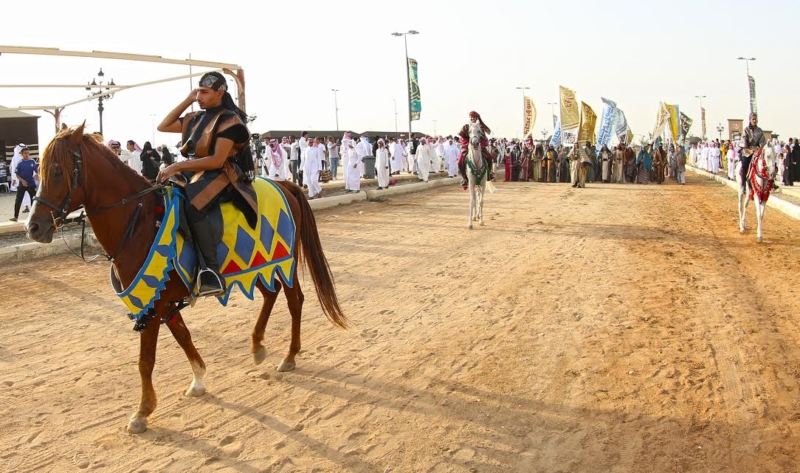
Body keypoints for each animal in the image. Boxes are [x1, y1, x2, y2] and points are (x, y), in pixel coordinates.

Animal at [26, 124, 346, 432]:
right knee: (271, 293)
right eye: (39, 171)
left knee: (295, 300)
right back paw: (257, 346)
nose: (34, 227)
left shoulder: (153, 306)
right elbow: (183, 336)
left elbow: (146, 360)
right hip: (257, 268)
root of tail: (284, 184)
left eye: (57, 171)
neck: (139, 223)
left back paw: (290, 356)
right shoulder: (162, 300)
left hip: (284, 263)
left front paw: (142, 412)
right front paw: (198, 379)